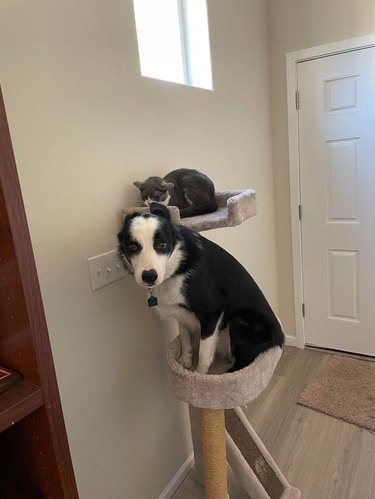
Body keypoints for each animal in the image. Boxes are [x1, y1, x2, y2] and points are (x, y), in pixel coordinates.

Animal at [117, 204, 284, 376]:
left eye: (162, 245)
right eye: (132, 247)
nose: (149, 276)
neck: (178, 263)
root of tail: (281, 337)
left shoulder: (212, 312)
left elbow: (203, 354)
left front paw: (197, 376)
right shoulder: (179, 312)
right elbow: (184, 337)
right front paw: (184, 362)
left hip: (239, 322)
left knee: (241, 365)